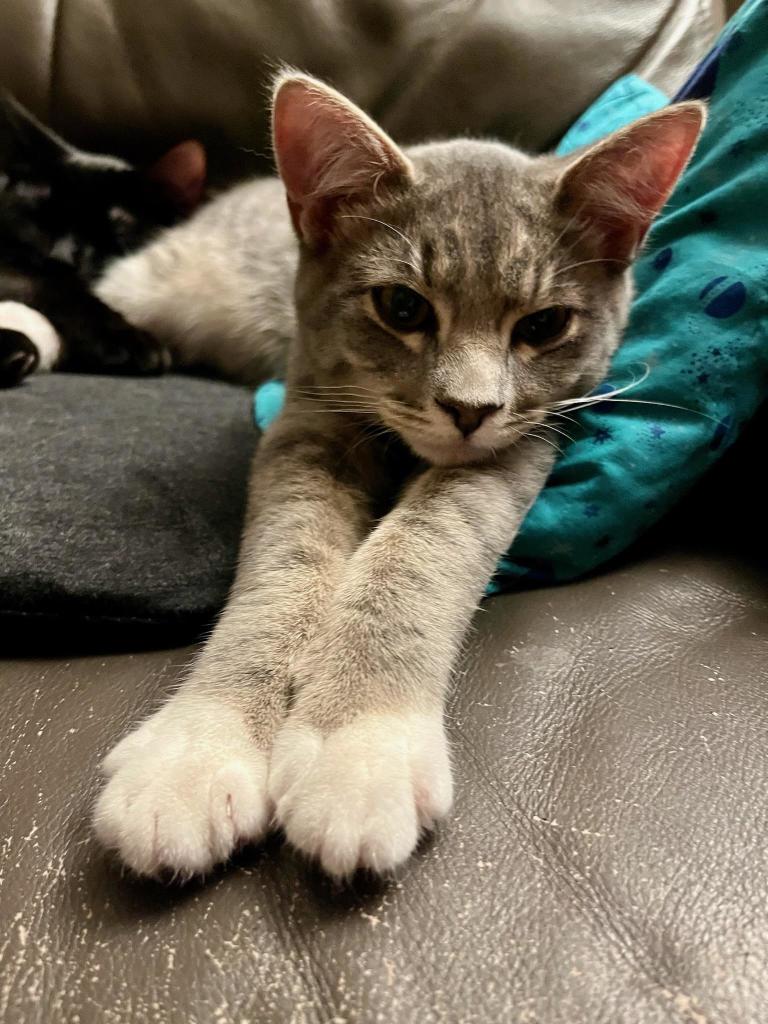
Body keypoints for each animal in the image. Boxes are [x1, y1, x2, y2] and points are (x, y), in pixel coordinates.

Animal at [91, 72, 704, 876]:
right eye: (403, 306)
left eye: (543, 326)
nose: (470, 408)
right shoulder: (306, 424)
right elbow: (283, 567)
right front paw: (198, 750)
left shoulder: (520, 444)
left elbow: (420, 553)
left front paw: (358, 751)